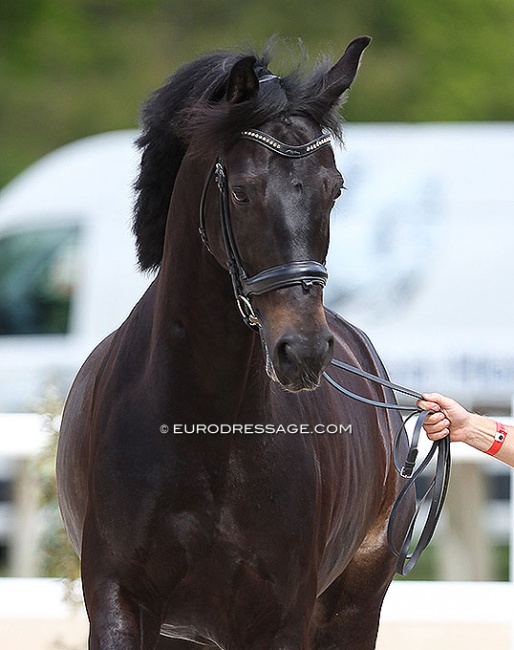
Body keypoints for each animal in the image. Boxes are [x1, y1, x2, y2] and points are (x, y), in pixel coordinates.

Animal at [56, 36, 408, 648]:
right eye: (242, 192)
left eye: (334, 189)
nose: (303, 351)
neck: (205, 430)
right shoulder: (118, 600)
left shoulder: (279, 618)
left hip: (353, 609)